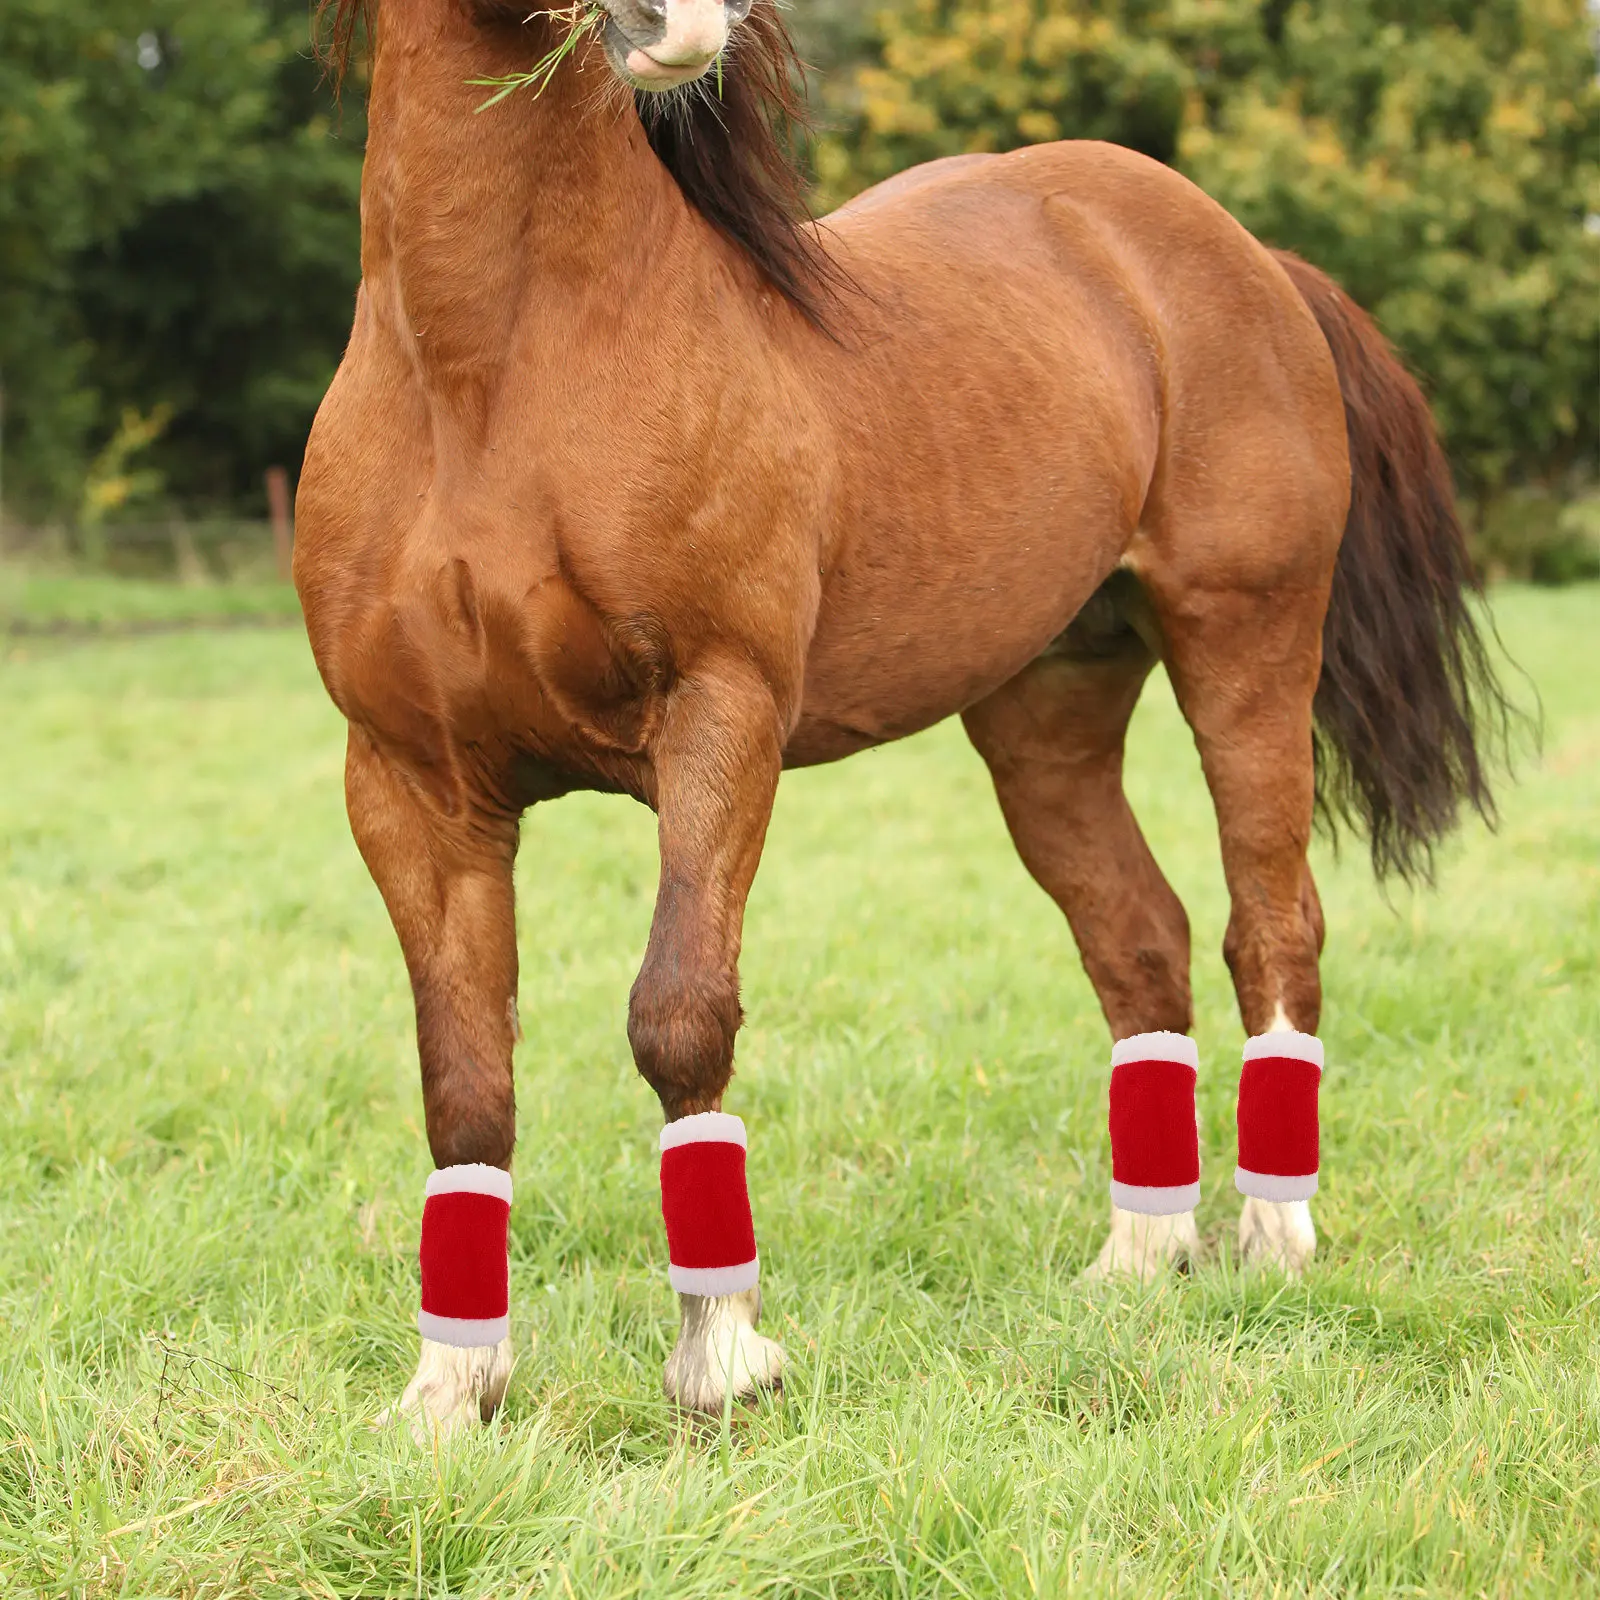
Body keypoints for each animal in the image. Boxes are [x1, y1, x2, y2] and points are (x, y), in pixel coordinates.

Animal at [296, 0, 1505, 1435]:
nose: (685, 23)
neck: (484, 377)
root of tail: (1244, 254)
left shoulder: (720, 718)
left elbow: (678, 1013)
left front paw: (723, 1359)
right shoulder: (411, 784)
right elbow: (465, 1079)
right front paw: (449, 1390)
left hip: (1248, 646)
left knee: (1269, 924)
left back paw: (1274, 1239)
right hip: (1048, 710)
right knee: (1139, 940)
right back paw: (1141, 1255)